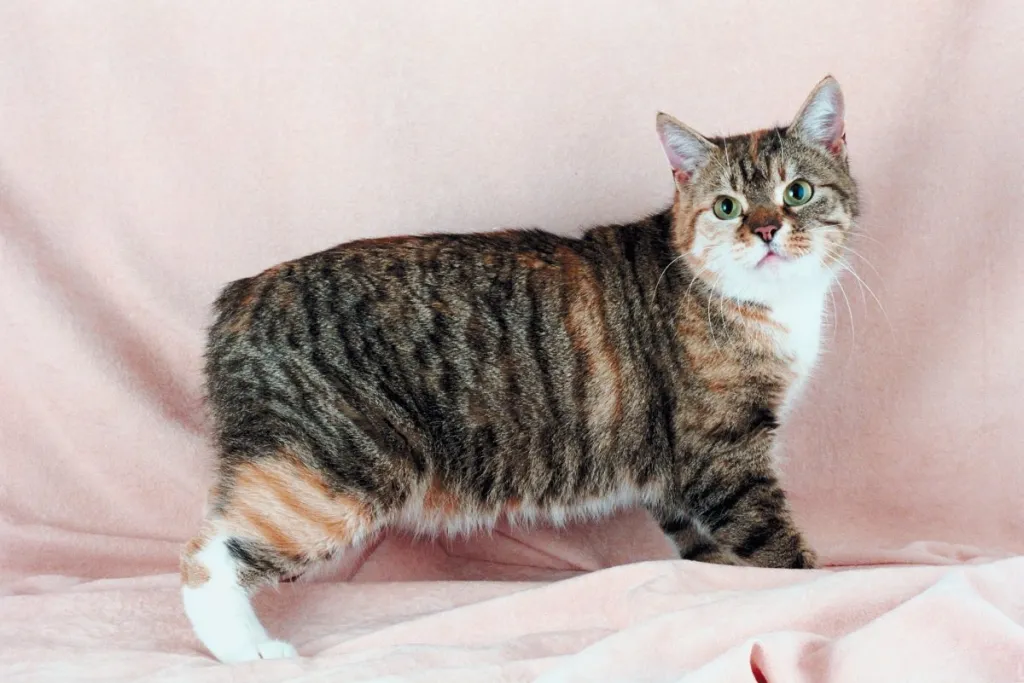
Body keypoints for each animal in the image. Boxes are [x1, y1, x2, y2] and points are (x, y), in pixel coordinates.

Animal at [182, 76, 856, 663]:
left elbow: (708, 551)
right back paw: (248, 649)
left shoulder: (674, 472)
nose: (766, 229)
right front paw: (812, 589)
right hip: (335, 468)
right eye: (726, 207)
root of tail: (242, 294)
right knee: (205, 558)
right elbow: (772, 542)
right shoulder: (722, 453)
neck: (762, 304)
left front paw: (714, 590)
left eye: (797, 192)